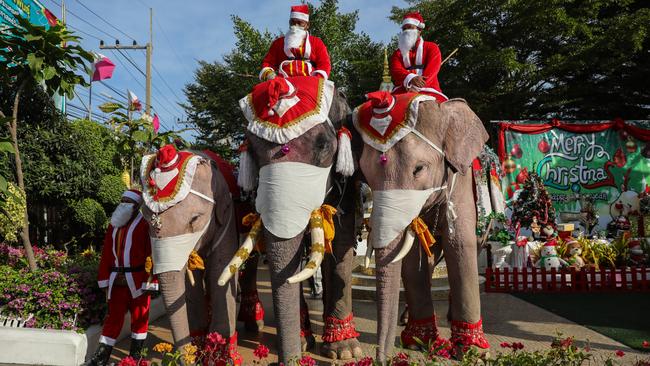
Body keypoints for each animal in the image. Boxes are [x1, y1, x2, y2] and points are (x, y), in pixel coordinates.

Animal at [138, 145, 244, 360]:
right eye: (145, 220)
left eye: (195, 219)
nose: (189, 359)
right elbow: (189, 282)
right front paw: (199, 345)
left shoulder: (227, 218)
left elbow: (219, 270)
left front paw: (222, 354)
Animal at [221, 75, 364, 364]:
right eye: (251, 151)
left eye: (323, 145)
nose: (290, 360)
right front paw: (304, 341)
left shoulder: (347, 185)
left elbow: (340, 246)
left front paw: (345, 351)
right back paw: (253, 323)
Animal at [352, 91, 488, 360]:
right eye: (365, 175)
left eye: (419, 169)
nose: (381, 359)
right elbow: (414, 255)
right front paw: (418, 343)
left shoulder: (461, 179)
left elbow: (460, 244)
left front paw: (472, 352)